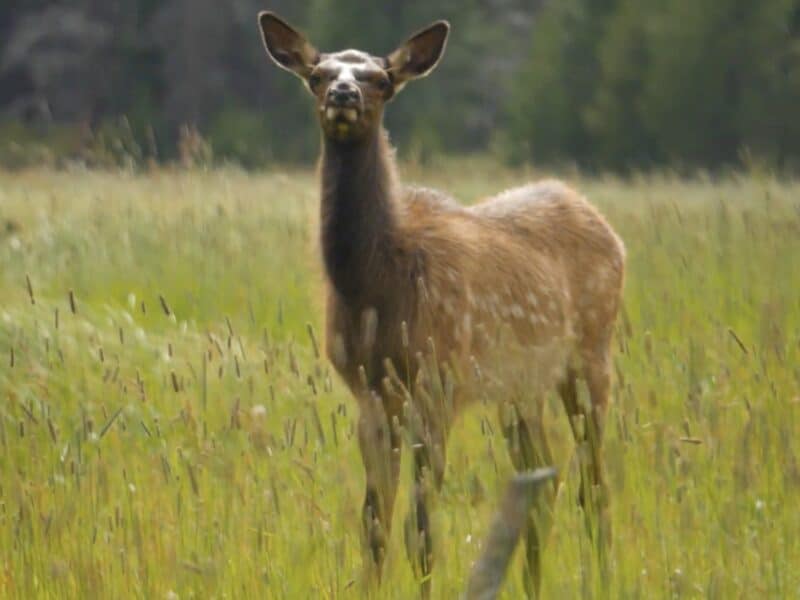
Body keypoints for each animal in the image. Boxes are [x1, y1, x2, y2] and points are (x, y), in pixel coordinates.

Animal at [258, 12, 626, 597]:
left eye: (381, 80)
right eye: (316, 75)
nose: (343, 93)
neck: (377, 285)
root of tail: (608, 228)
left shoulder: (437, 382)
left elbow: (421, 528)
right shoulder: (371, 395)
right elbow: (373, 526)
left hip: (591, 357)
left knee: (593, 482)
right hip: (520, 387)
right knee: (543, 477)